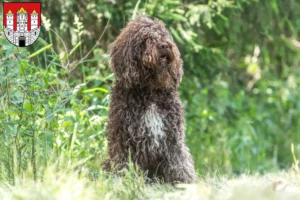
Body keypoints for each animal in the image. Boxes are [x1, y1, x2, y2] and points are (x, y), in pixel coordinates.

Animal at [103, 16, 199, 184]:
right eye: (146, 39)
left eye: (163, 35)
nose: (164, 45)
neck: (151, 93)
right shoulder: (124, 142)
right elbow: (123, 164)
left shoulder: (173, 139)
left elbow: (181, 164)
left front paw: (187, 183)